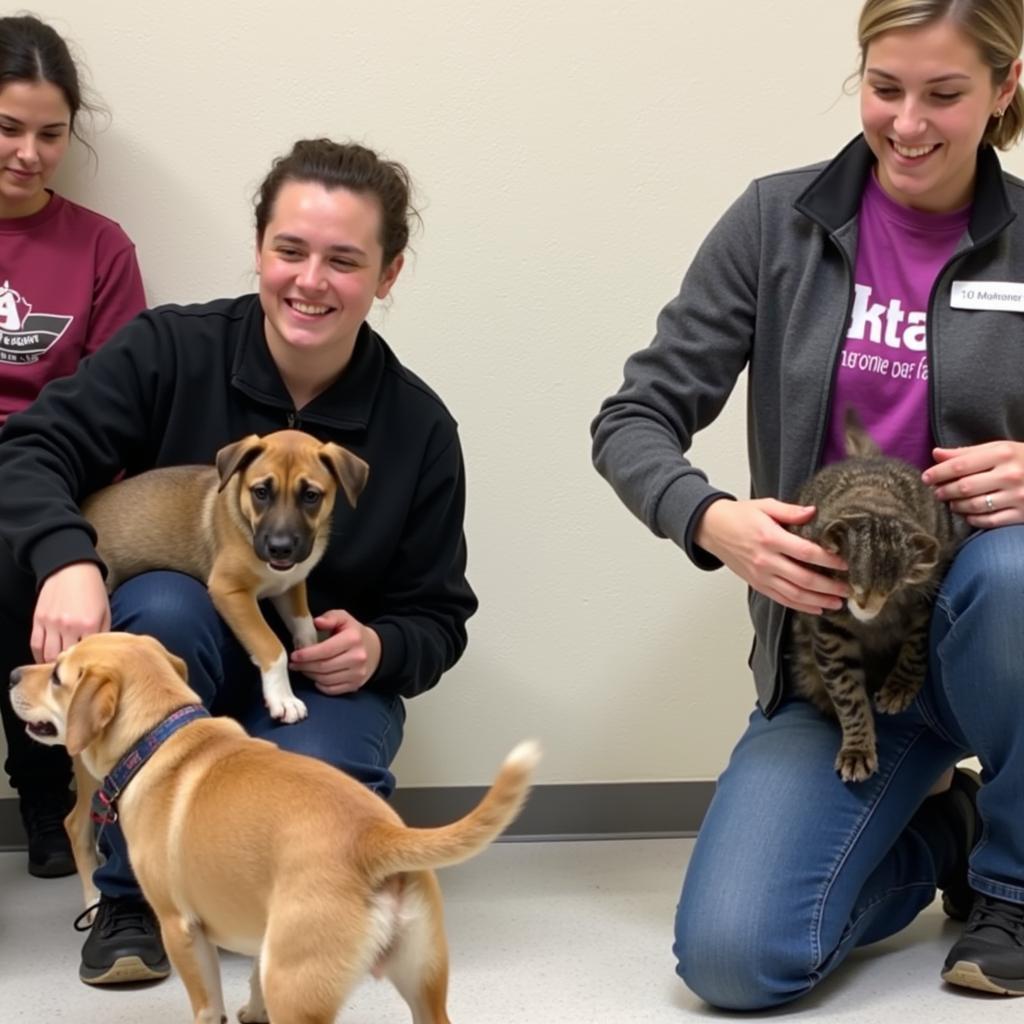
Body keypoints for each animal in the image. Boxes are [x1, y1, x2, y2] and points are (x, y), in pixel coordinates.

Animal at [9, 630, 544, 1024]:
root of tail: (375, 837)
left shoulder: (182, 929)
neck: (159, 735)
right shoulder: (261, 933)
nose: (14, 672)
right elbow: (252, 974)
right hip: (422, 983)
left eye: (57, 675)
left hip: (300, 989)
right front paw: (252, 1008)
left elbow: (208, 1006)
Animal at [82, 428, 368, 724]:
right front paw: (283, 697)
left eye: (311, 495)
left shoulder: (289, 585)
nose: (280, 548)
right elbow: (272, 645)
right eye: (261, 492)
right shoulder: (230, 590)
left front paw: (310, 652)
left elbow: (305, 623)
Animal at [790, 411, 958, 778]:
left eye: (891, 588)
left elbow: (915, 647)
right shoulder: (830, 631)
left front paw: (899, 687)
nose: (866, 604)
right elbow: (847, 694)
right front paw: (857, 747)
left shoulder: (926, 595)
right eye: (850, 579)